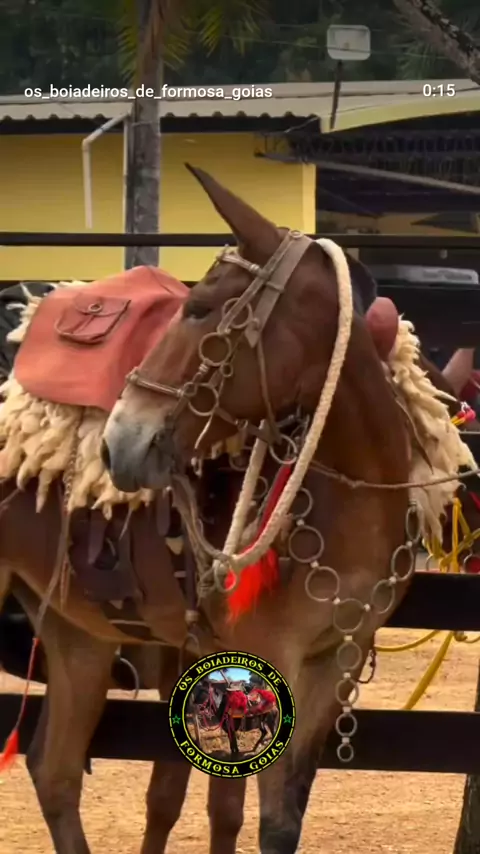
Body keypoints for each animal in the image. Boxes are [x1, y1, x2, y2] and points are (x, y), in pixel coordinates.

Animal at [102, 165, 475, 852]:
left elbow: (279, 820)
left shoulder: (336, 661)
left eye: (199, 309)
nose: (120, 441)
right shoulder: (262, 654)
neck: (352, 493)